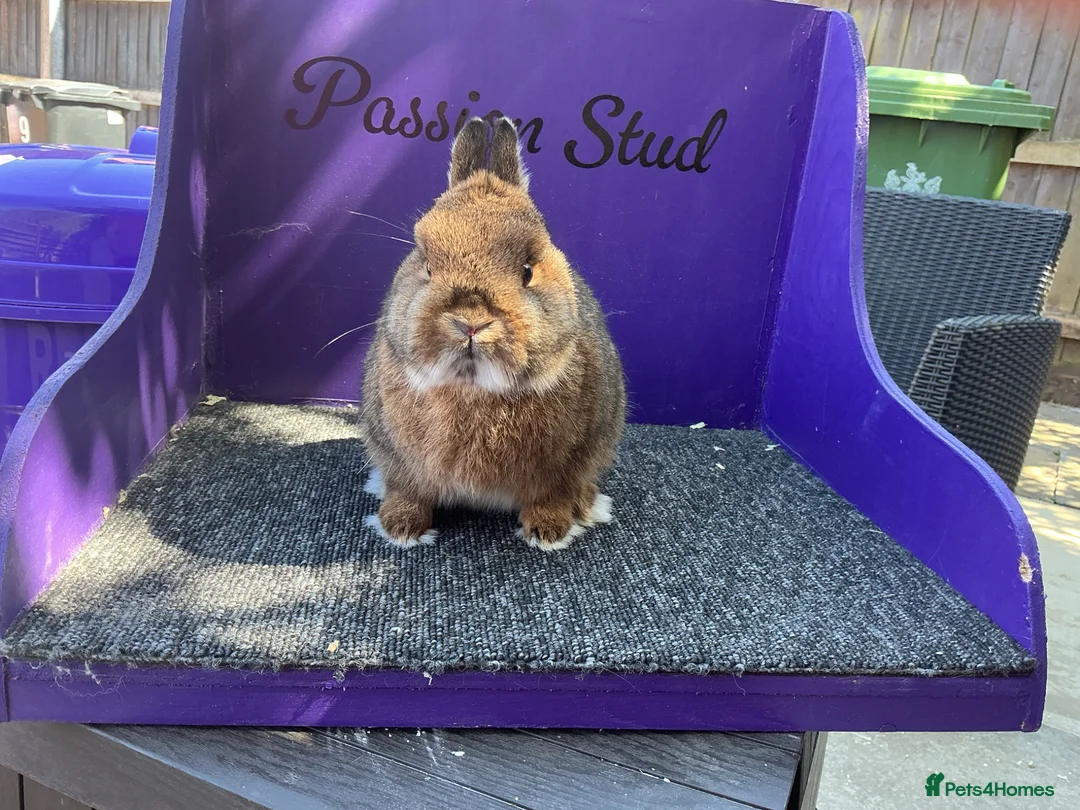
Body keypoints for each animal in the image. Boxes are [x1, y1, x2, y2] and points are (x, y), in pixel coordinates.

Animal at [360, 116, 626, 552]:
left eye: (527, 270)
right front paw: (400, 527)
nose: (470, 322)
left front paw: (549, 532)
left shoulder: (564, 467)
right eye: (427, 265)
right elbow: (408, 491)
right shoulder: (396, 457)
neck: (475, 390)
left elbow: (552, 495)